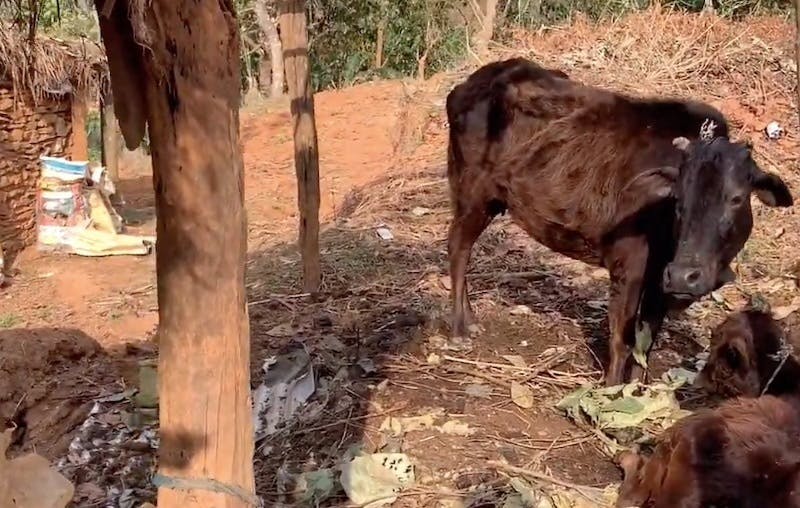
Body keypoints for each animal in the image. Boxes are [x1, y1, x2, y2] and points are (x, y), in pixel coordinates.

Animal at [446, 56, 792, 384]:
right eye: (678, 199)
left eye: (736, 198)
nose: (685, 276)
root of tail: (469, 83)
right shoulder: (629, 267)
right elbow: (621, 340)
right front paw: (611, 390)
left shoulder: (659, 281)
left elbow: (645, 343)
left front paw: (638, 388)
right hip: (472, 193)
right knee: (458, 248)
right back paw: (462, 325)